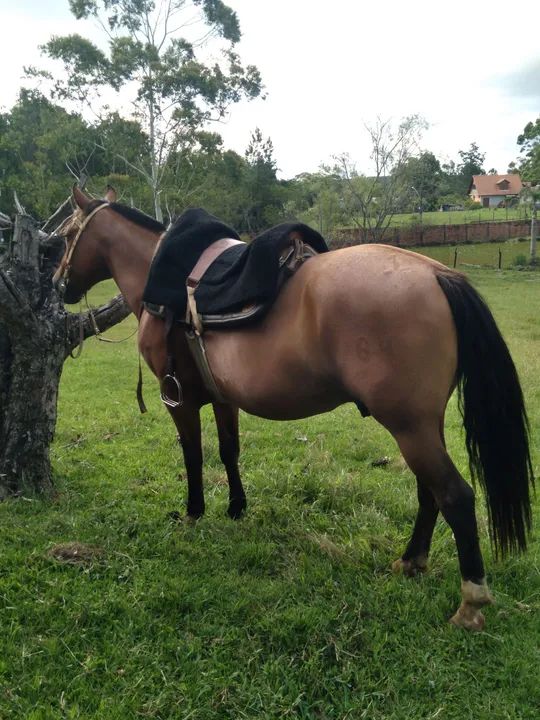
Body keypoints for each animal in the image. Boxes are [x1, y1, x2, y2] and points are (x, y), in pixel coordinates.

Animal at [52, 186, 534, 631]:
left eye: (66, 235)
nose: (59, 284)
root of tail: (437, 274)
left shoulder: (180, 399)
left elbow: (193, 455)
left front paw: (193, 512)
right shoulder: (224, 398)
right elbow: (228, 451)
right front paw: (237, 508)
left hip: (409, 427)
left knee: (455, 496)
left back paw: (470, 602)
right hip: (420, 427)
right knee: (428, 491)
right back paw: (410, 562)